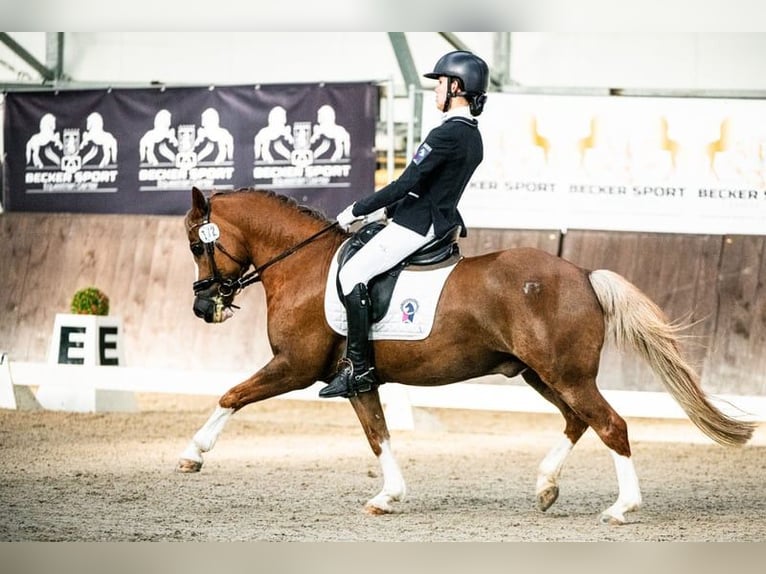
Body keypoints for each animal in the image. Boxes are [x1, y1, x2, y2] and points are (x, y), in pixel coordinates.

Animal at [179, 186, 755, 525]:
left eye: (195, 244)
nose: (203, 307)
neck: (304, 266)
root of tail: (583, 274)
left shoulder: (295, 367)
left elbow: (232, 395)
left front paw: (192, 454)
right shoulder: (357, 378)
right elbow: (377, 435)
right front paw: (389, 497)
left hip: (564, 373)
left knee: (611, 425)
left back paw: (622, 507)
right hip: (542, 375)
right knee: (578, 420)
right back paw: (546, 487)